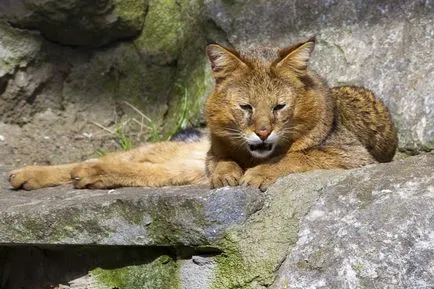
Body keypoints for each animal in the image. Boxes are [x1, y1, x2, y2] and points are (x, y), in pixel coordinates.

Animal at [8, 38, 398, 191]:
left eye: (279, 107)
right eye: (246, 107)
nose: (263, 133)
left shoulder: (352, 155)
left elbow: (295, 159)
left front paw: (258, 174)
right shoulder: (213, 155)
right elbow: (224, 163)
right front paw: (230, 174)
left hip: (173, 170)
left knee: (119, 167)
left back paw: (85, 176)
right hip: (174, 156)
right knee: (106, 158)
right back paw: (30, 173)